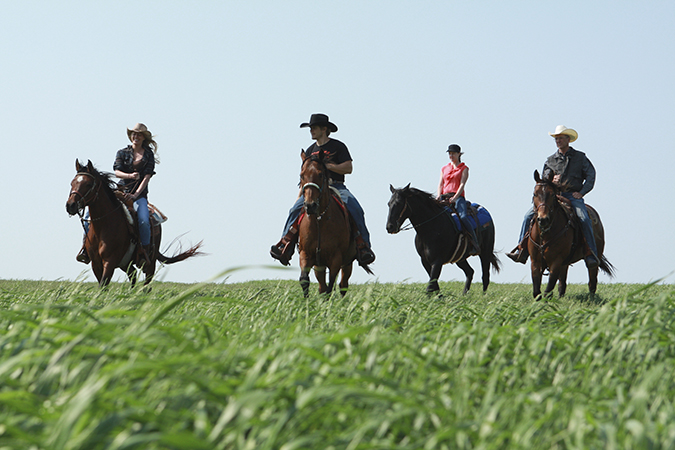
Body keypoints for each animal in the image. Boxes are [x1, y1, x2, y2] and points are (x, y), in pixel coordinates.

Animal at [65, 160, 203, 286]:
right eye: (72, 183)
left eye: (88, 184)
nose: (70, 205)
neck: (103, 227)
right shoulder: (96, 264)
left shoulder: (110, 261)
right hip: (125, 263)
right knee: (133, 275)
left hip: (150, 262)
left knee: (146, 283)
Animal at [298, 151, 372, 298]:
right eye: (301, 175)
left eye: (320, 174)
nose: (310, 205)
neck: (319, 220)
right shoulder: (306, 254)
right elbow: (304, 280)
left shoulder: (336, 259)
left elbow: (330, 286)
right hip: (319, 265)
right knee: (322, 286)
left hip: (347, 262)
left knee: (343, 285)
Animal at [532, 169, 616, 298]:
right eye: (535, 194)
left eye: (552, 195)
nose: (543, 219)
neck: (545, 234)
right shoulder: (535, 262)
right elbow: (537, 291)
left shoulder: (556, 261)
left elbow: (548, 288)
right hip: (565, 263)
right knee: (562, 283)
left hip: (594, 258)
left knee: (592, 281)